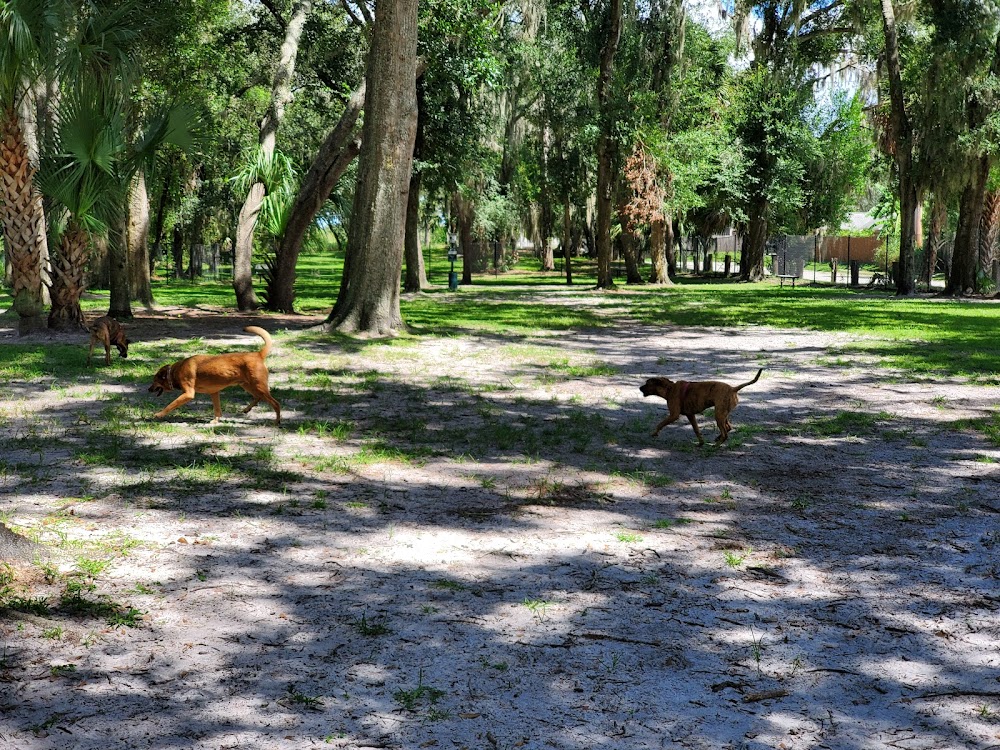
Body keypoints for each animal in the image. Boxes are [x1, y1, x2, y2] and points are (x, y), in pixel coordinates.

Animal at [148, 326, 282, 426]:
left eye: (154, 380)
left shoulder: (188, 394)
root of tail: (258, 354)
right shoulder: (214, 392)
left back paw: (276, 422)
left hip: (258, 386)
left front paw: (159, 414)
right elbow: (217, 410)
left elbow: (170, 405)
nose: (148, 389)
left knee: (275, 403)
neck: (174, 372)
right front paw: (216, 420)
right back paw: (246, 409)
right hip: (247, 385)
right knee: (258, 397)